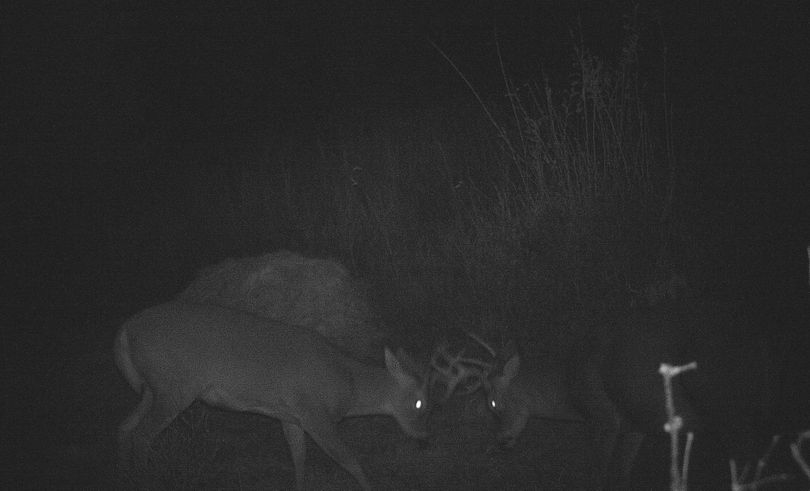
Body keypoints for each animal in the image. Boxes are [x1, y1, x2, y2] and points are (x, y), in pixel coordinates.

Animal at [115, 302, 430, 490]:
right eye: (419, 402)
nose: (424, 438)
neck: (348, 385)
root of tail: (125, 330)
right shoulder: (315, 412)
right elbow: (348, 459)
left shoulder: (290, 415)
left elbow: (298, 457)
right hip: (175, 385)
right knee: (141, 435)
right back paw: (145, 479)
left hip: (153, 388)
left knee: (125, 428)